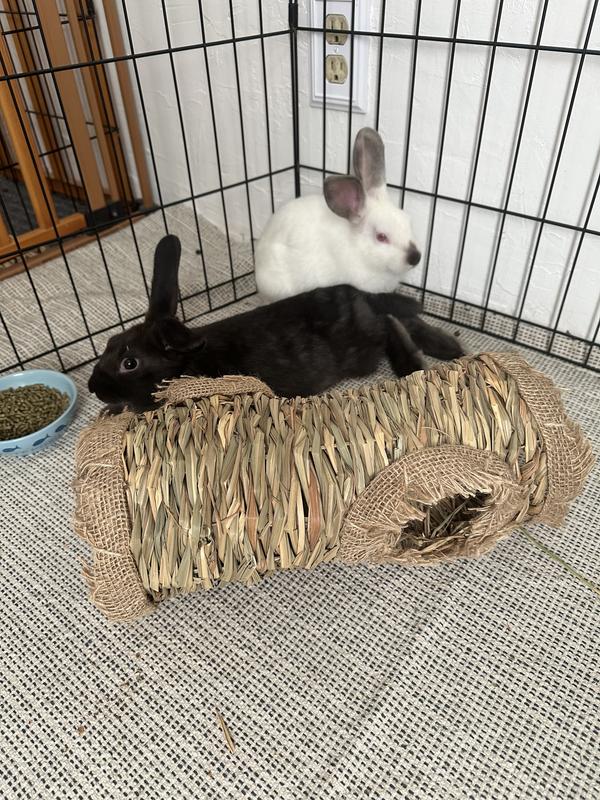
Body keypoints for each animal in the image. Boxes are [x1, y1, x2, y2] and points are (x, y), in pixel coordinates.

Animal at [88, 235, 464, 413]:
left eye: (130, 363)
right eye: (107, 345)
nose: (93, 388)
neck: (184, 363)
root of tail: (356, 293)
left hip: (361, 349)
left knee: (391, 324)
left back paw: (414, 362)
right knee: (402, 316)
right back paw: (448, 346)